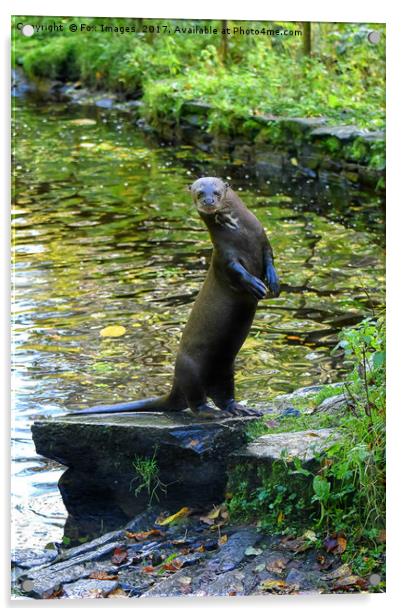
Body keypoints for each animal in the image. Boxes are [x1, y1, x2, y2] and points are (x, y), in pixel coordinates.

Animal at [70, 176, 280, 422]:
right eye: (199, 193)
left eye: (216, 192)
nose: (208, 202)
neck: (241, 235)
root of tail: (175, 385)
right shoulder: (224, 257)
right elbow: (236, 272)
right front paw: (256, 285)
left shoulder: (263, 240)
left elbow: (270, 260)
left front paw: (273, 283)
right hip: (192, 371)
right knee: (196, 402)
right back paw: (211, 413)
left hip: (226, 369)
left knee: (223, 396)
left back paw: (239, 408)